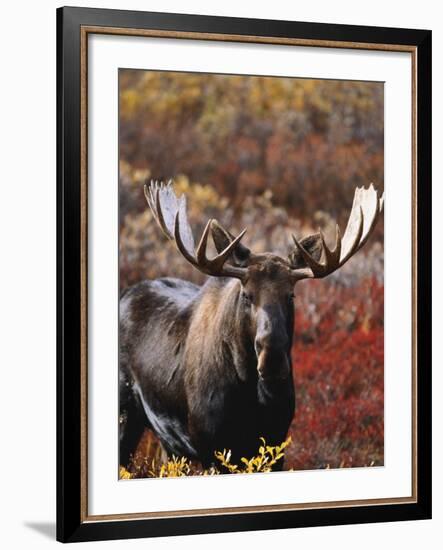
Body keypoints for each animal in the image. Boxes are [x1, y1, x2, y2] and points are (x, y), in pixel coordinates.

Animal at [119, 180, 384, 470]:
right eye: (247, 295)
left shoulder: (275, 442)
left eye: (291, 295)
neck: (249, 395)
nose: (273, 359)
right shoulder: (211, 446)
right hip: (126, 416)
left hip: (170, 444)